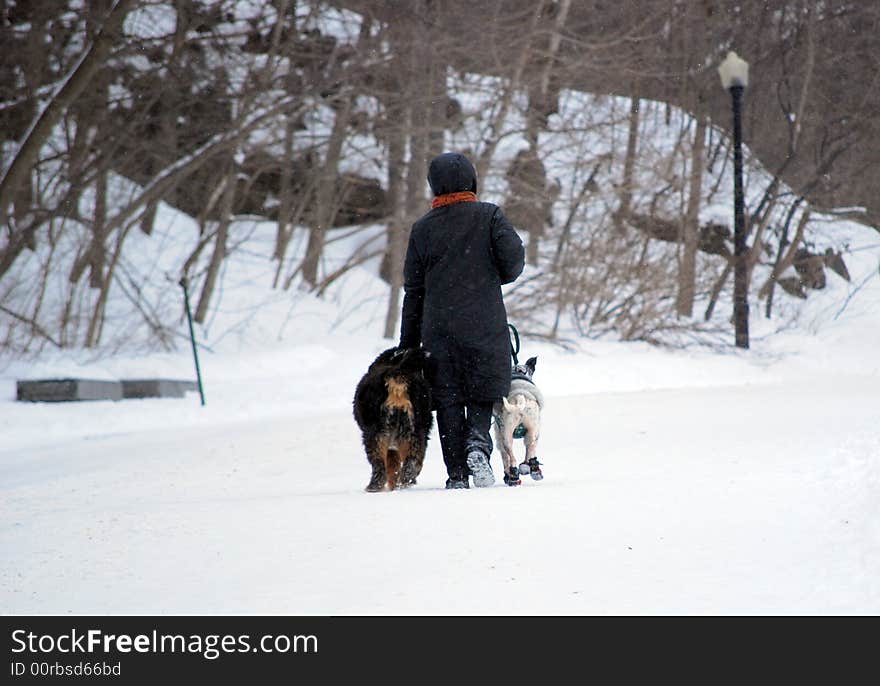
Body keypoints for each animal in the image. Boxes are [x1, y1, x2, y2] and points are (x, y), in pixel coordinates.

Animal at [350, 350, 434, 494]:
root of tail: (398, 373)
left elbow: (390, 467)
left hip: (376, 434)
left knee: (379, 465)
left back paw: (374, 487)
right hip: (414, 432)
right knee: (414, 460)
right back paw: (406, 480)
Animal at [496, 358, 544, 486]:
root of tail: (518, 396)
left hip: (506, 435)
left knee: (511, 456)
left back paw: (514, 475)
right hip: (530, 431)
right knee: (528, 450)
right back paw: (531, 469)